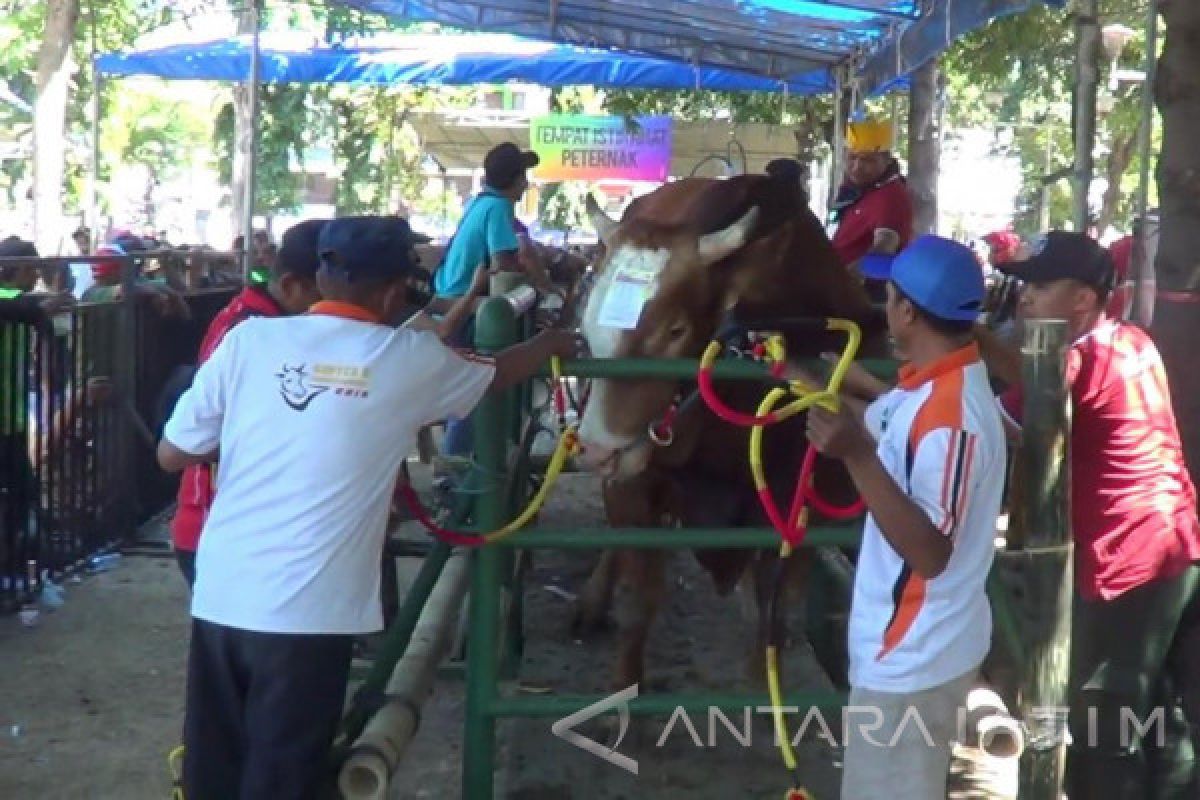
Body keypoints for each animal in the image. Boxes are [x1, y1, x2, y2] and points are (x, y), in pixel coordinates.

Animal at [571, 173, 883, 690]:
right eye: (587, 323)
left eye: (676, 330)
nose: (598, 450)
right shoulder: (636, 487)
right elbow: (640, 600)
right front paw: (623, 693)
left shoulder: (797, 512)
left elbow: (772, 616)